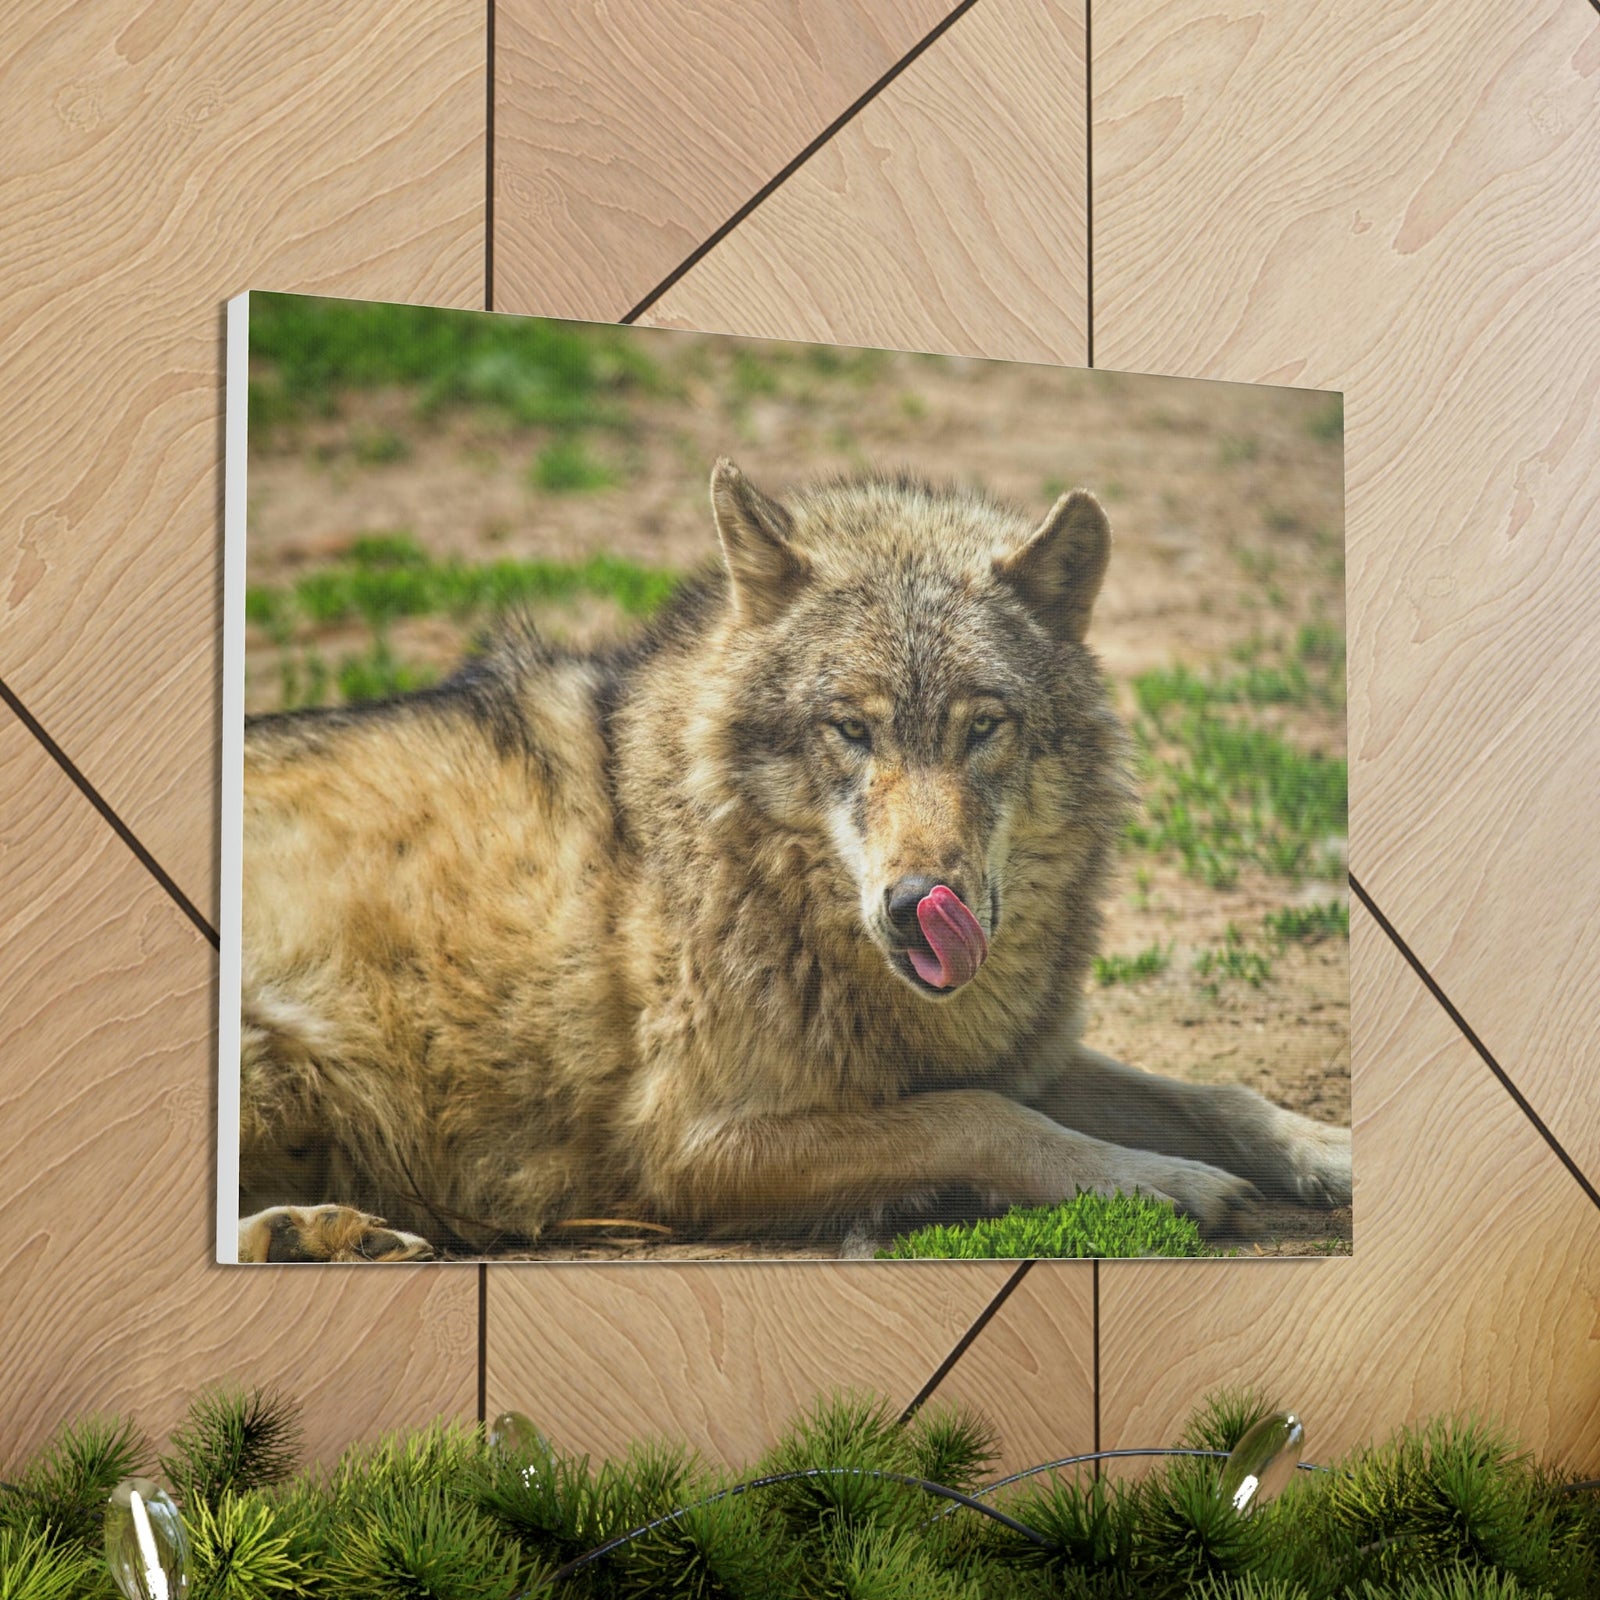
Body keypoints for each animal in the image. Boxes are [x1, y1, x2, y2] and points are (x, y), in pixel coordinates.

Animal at [236, 459, 1351, 1261]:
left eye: (982, 726)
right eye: (850, 729)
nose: (918, 903)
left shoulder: (1013, 1052)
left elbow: (1215, 1095)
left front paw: (1328, 1152)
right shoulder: (693, 1145)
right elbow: (981, 1119)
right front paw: (1163, 1183)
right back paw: (301, 1236)